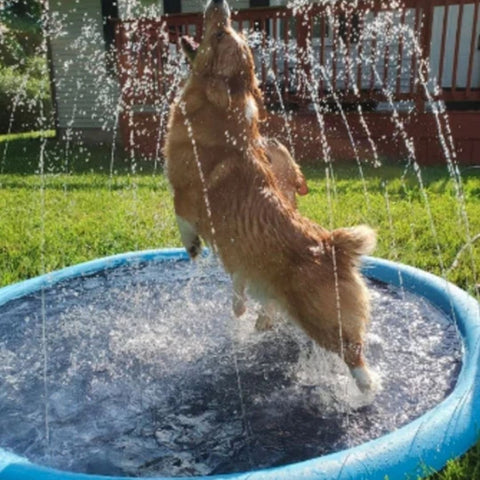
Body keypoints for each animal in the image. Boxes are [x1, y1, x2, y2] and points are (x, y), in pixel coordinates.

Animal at [165, 0, 376, 390]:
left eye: (220, 34)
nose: (220, 4)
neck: (220, 110)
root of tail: (334, 247)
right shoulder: (240, 256)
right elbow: (238, 283)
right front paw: (238, 308)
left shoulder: (185, 196)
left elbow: (182, 220)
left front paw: (193, 248)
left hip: (321, 320)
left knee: (353, 355)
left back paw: (365, 390)